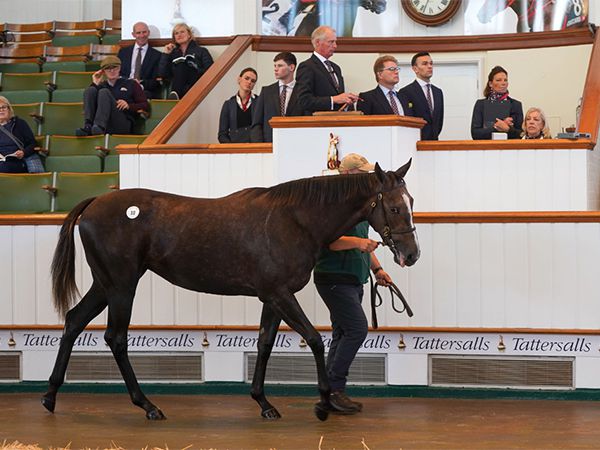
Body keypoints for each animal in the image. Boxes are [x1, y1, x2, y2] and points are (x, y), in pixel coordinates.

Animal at [42, 159, 420, 422]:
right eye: (395, 207)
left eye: (412, 201)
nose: (411, 254)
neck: (295, 220)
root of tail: (94, 204)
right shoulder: (281, 294)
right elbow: (314, 339)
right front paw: (323, 404)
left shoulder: (272, 297)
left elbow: (265, 343)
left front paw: (264, 403)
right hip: (122, 286)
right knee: (116, 338)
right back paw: (147, 405)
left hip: (105, 284)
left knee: (74, 321)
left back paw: (50, 396)